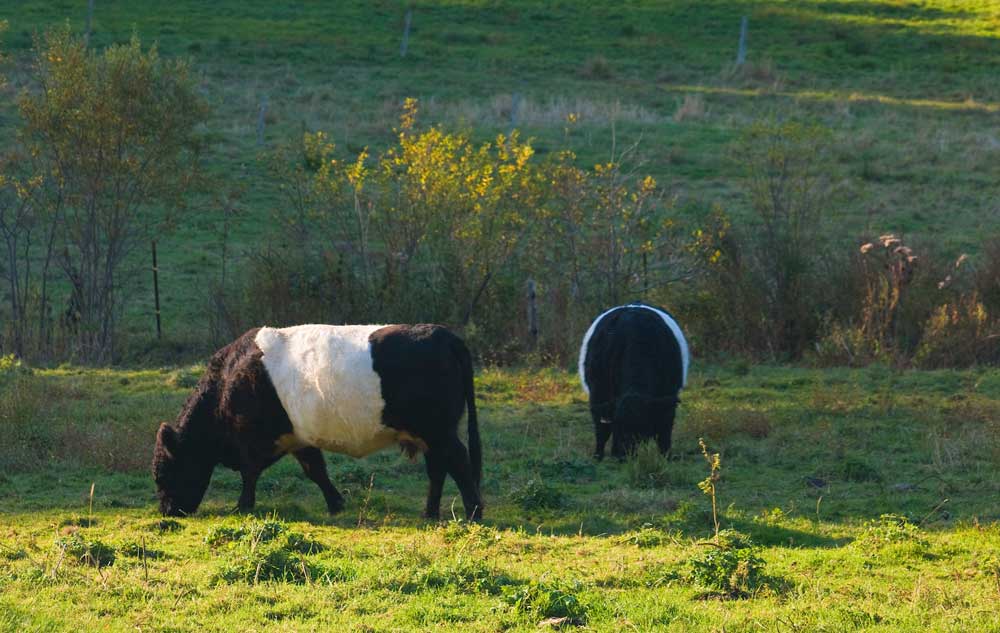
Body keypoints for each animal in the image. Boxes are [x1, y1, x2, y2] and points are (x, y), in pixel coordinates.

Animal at [152, 324, 484, 520]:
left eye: (163, 471)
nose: (167, 512)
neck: (226, 383)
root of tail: (442, 333)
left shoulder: (251, 442)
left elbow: (250, 474)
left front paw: (242, 506)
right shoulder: (300, 437)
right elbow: (316, 471)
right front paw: (336, 504)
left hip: (439, 431)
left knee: (459, 462)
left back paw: (473, 512)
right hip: (428, 434)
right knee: (438, 469)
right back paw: (430, 512)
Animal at [580, 302, 688, 460]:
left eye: (641, 428)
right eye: (619, 427)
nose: (624, 455)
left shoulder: (668, 398)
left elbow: (664, 432)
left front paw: (666, 456)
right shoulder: (598, 395)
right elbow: (602, 431)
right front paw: (598, 456)